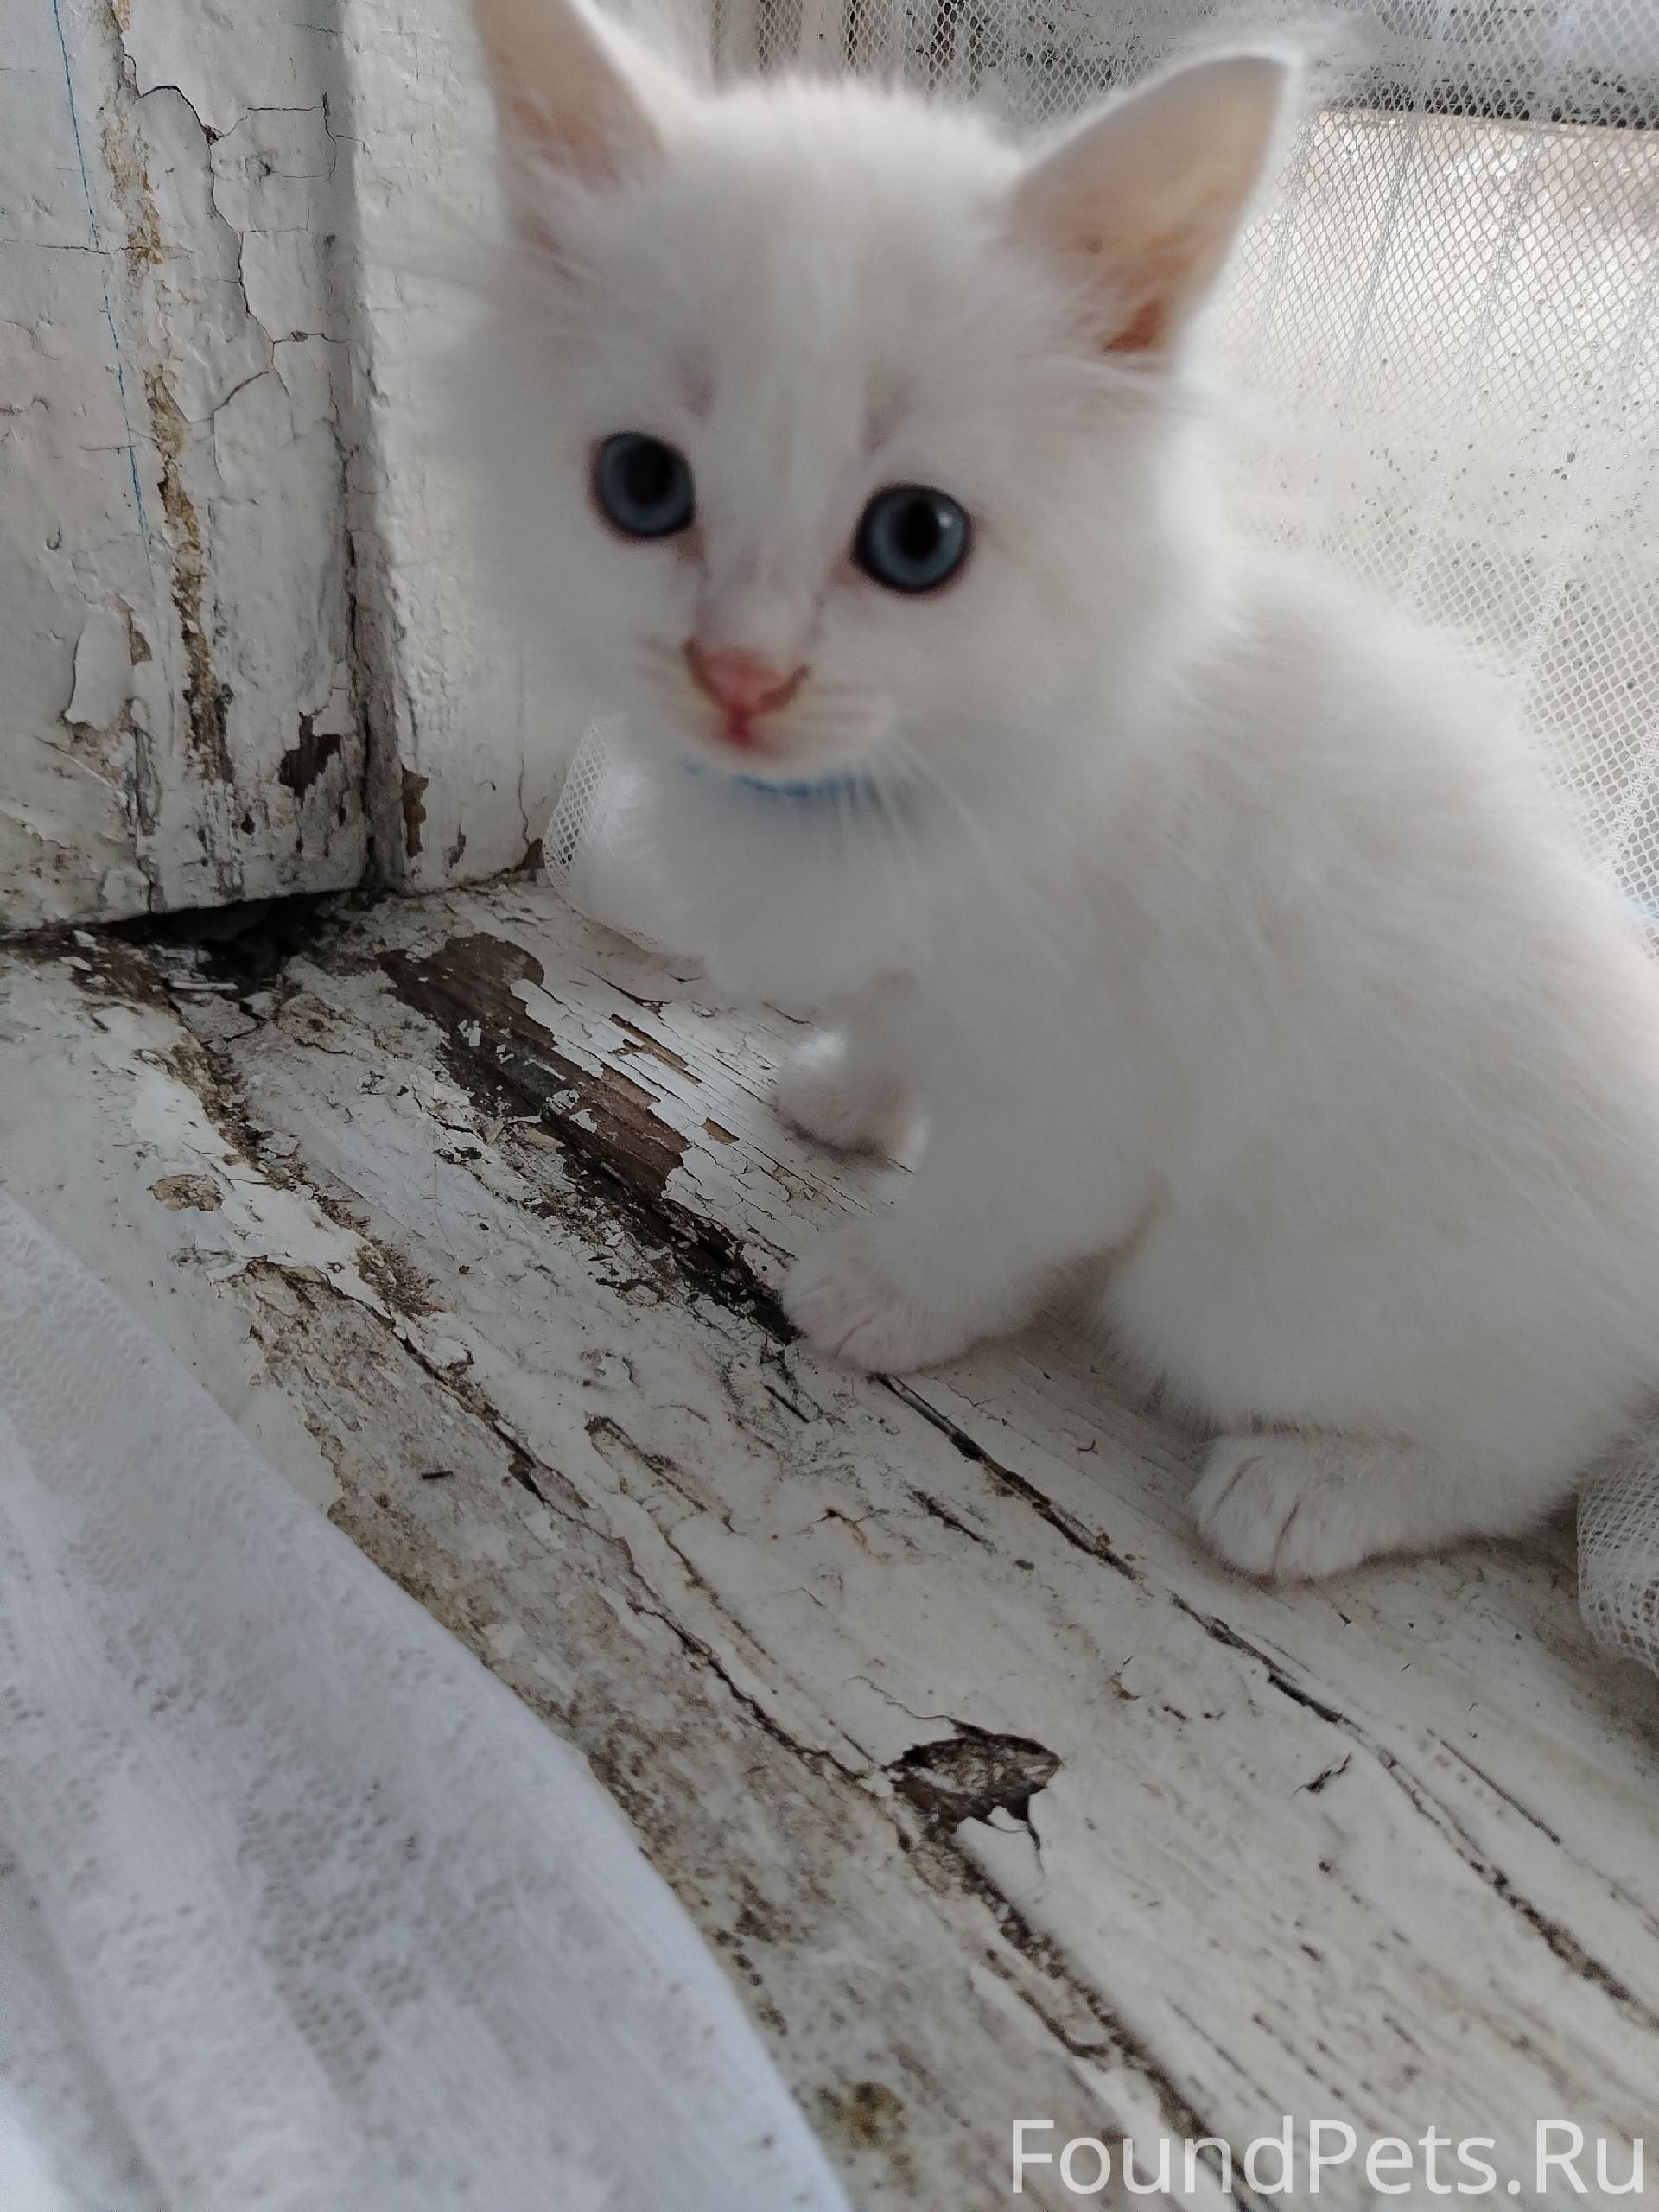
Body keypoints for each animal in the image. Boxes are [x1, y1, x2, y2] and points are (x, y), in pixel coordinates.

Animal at [462, 0, 1659, 1579]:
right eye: (641, 487)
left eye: (917, 539)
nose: (741, 674)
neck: (913, 780)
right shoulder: (911, 972)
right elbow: (894, 1032)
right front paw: (849, 1100)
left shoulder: (1079, 1094)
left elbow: (985, 1216)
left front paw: (881, 1298)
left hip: (1261, 1292)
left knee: (1520, 1461)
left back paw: (1310, 1492)